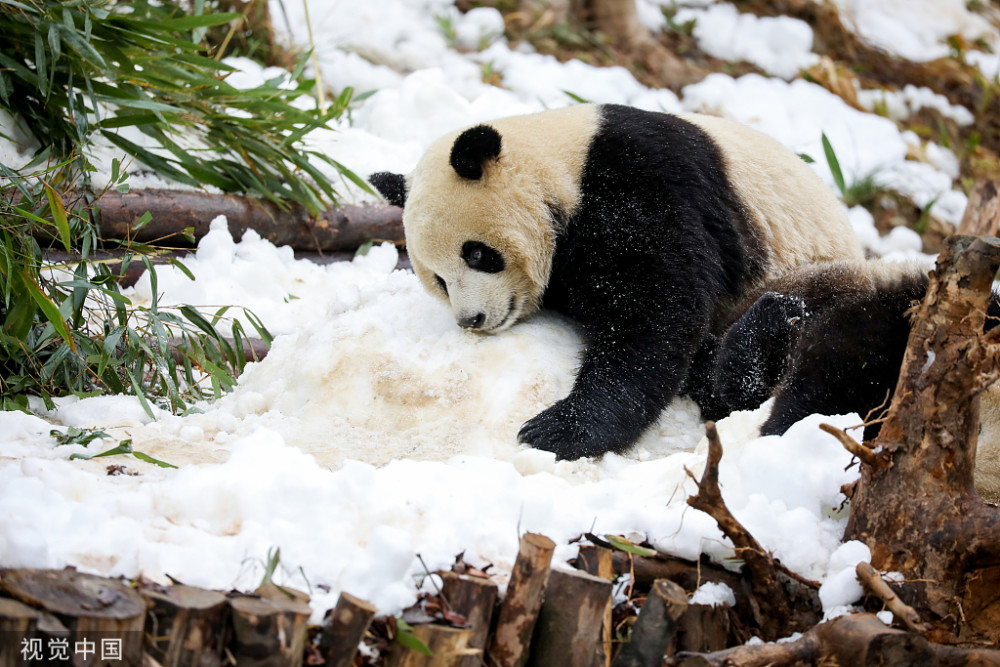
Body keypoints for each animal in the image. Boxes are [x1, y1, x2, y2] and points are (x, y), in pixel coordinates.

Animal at [372, 105, 864, 460]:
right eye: (438, 279)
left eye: (476, 254)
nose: (472, 319)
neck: (560, 163)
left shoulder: (639, 183)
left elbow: (656, 310)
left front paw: (558, 430)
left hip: (820, 276)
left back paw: (770, 326)